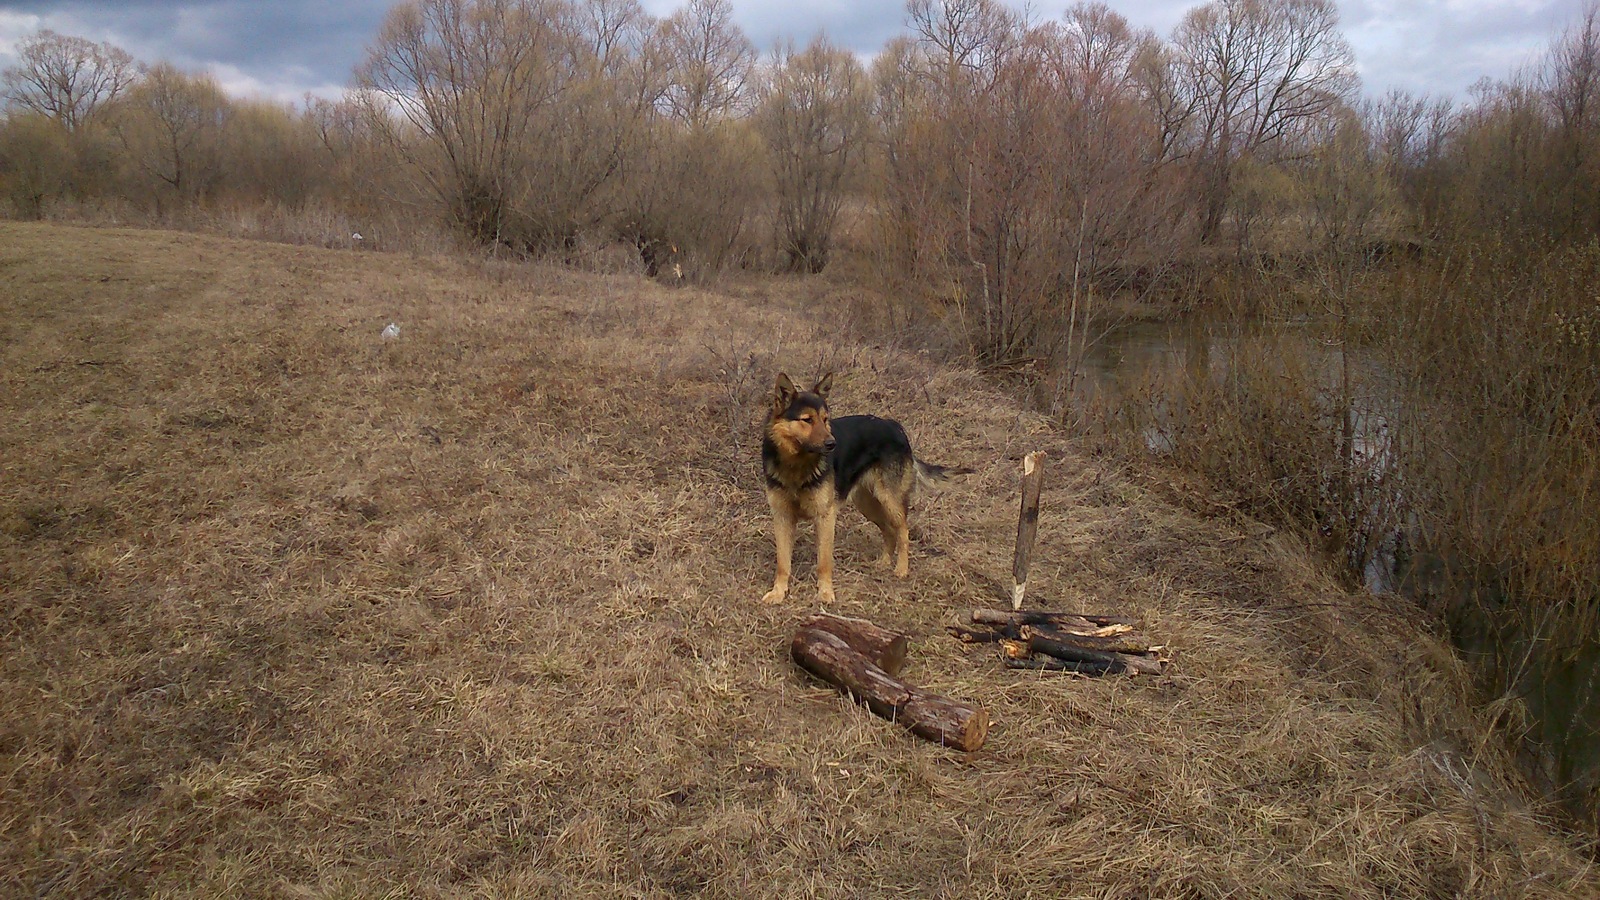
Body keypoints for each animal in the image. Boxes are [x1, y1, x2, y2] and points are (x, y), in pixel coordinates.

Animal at [758, 368, 966, 605]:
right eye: (807, 420)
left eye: (825, 419)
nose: (832, 444)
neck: (796, 465)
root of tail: (894, 426)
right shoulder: (782, 517)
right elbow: (783, 563)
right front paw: (778, 592)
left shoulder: (825, 517)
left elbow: (824, 562)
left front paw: (825, 593)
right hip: (867, 504)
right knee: (888, 530)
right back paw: (884, 562)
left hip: (890, 501)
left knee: (902, 531)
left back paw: (901, 569)